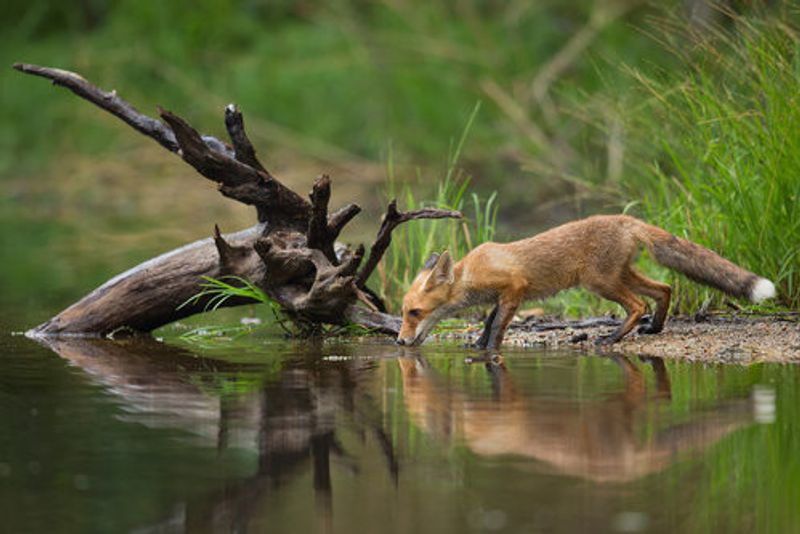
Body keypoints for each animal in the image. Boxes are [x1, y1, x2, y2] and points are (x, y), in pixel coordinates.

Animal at [396, 214, 776, 349]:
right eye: (404, 312)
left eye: (414, 313)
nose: (399, 342)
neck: (472, 273)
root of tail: (624, 219)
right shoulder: (502, 297)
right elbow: (490, 322)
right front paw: (477, 346)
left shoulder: (514, 288)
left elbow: (499, 327)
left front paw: (488, 351)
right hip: (620, 275)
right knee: (664, 289)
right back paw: (654, 328)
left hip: (598, 283)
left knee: (638, 304)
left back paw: (611, 338)